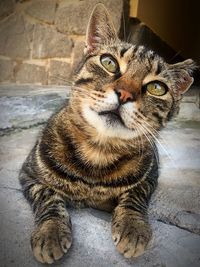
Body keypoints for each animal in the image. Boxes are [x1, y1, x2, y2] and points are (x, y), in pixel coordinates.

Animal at [18, 3, 195, 264]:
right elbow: (48, 198)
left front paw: (133, 228)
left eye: (157, 87)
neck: (98, 151)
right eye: (109, 62)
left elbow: (134, 197)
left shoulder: (150, 178)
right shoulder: (29, 174)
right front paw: (51, 232)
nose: (125, 94)